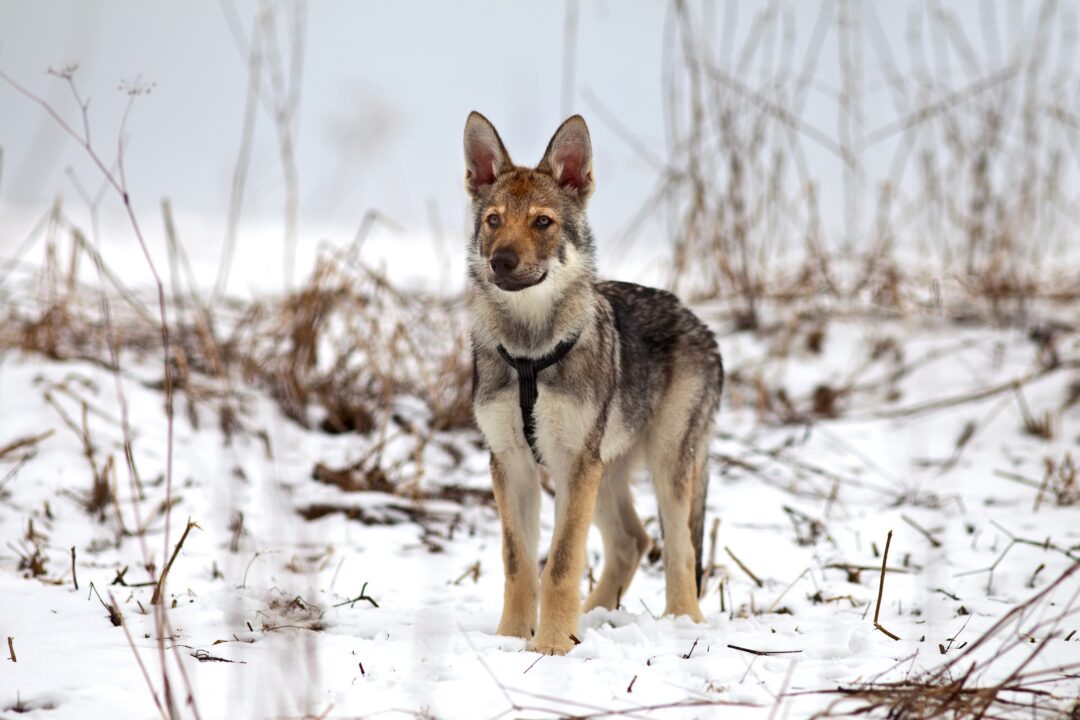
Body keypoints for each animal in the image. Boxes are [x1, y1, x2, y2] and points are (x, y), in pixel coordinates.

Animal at [464, 111, 723, 655]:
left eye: (542, 221)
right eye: (493, 220)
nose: (501, 261)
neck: (530, 352)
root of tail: (701, 324)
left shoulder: (573, 464)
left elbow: (561, 564)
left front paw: (551, 647)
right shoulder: (511, 465)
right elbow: (519, 565)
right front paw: (511, 640)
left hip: (660, 467)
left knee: (679, 550)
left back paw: (680, 625)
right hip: (605, 472)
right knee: (632, 541)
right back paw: (596, 617)